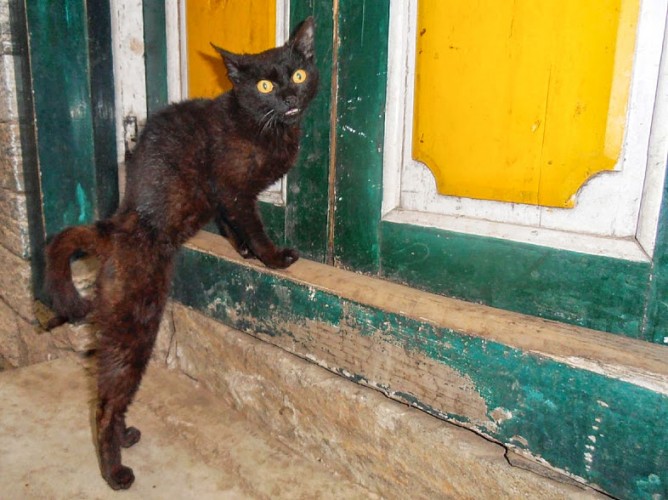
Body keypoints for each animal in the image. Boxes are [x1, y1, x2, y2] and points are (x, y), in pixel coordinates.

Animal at [44, 18, 318, 488]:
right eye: (265, 84)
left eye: (298, 75)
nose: (288, 98)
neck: (264, 125)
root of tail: (116, 225)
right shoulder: (232, 187)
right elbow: (252, 224)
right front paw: (270, 255)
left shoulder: (223, 198)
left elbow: (230, 224)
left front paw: (244, 251)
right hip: (135, 324)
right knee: (105, 401)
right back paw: (114, 470)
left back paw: (125, 437)